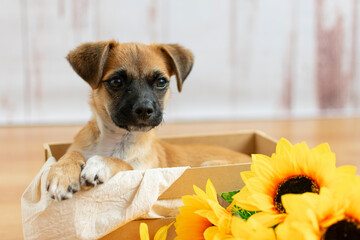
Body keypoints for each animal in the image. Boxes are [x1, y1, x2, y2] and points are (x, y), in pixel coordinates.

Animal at [45, 40, 250, 201]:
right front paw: (62, 174)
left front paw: (100, 163)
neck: (115, 139)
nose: (144, 110)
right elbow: (71, 154)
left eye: (161, 82)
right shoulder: (79, 148)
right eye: (116, 82)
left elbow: (124, 164)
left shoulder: (146, 171)